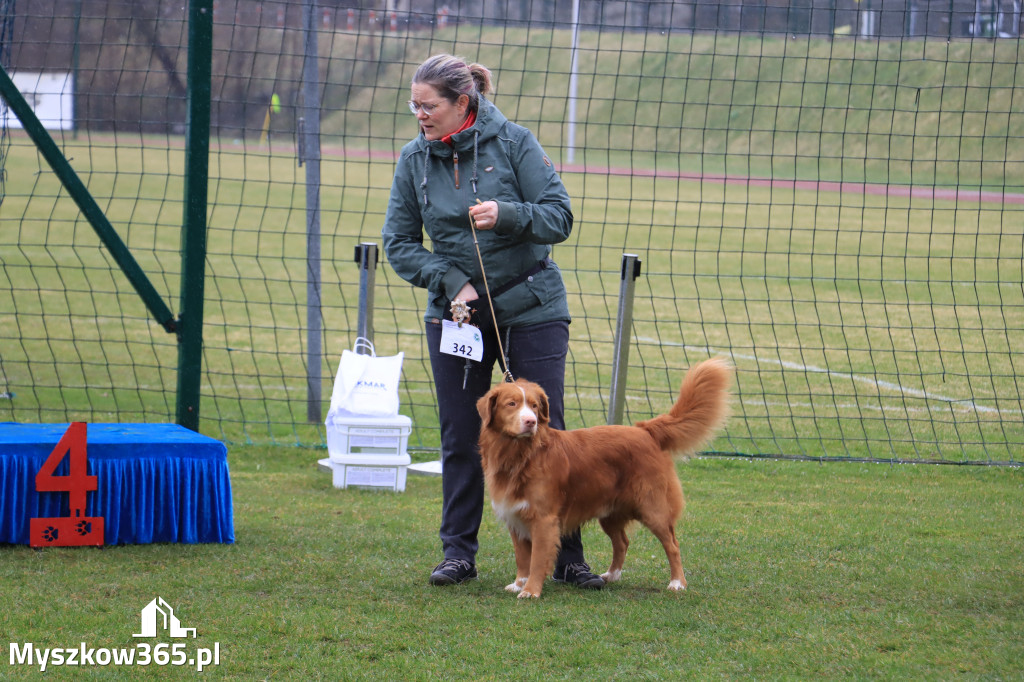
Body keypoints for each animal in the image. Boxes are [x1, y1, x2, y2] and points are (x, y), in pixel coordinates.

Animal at [475, 356, 733, 593]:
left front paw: (530, 591)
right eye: (511, 404)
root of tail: (645, 431)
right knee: (622, 542)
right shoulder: (515, 517)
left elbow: (537, 560)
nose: (531, 421)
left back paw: (677, 582)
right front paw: (519, 584)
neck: (521, 455)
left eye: (535, 406)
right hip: (610, 512)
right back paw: (611, 575)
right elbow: (522, 558)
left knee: (672, 544)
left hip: (654, 508)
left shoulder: (544, 520)